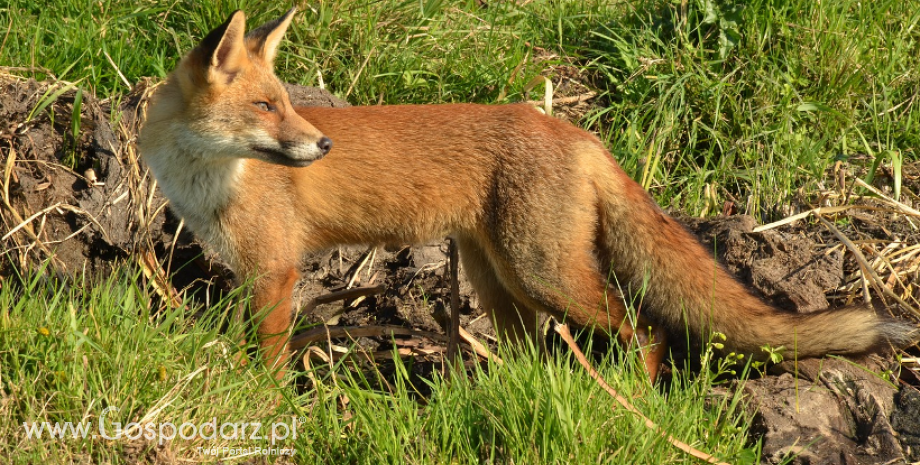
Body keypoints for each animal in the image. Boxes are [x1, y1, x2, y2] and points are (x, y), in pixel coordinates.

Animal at [140, 7, 916, 378]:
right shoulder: (254, 272)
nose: (323, 146)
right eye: (265, 107)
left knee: (647, 331)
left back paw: (631, 398)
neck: (206, 179)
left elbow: (266, 361)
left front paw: (266, 401)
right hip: (501, 281)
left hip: (545, 273)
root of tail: (569, 128)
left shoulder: (274, 270)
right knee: (534, 354)